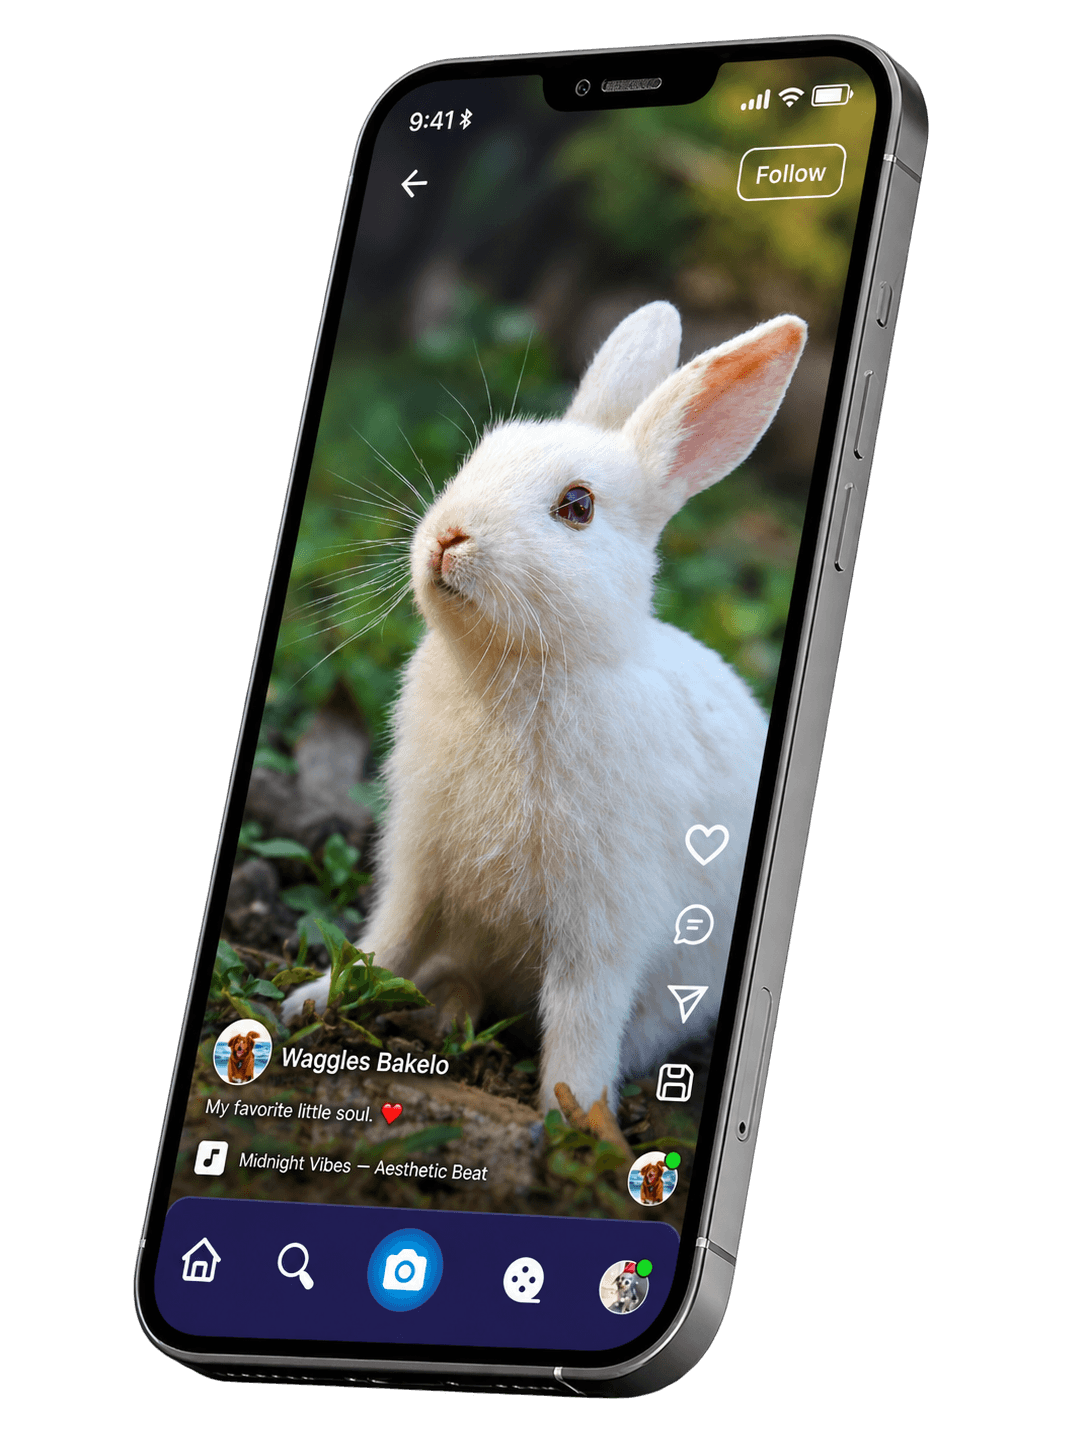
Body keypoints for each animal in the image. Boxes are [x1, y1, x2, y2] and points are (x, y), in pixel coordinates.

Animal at [282, 301, 807, 1119]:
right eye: (479, 457)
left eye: (578, 507)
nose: (448, 537)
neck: (515, 673)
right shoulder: (419, 863)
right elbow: (389, 938)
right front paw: (311, 1002)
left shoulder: (604, 919)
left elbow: (583, 1017)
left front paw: (569, 1116)